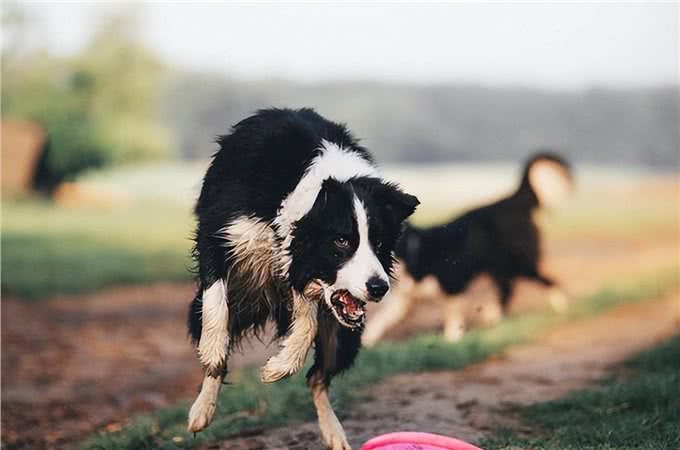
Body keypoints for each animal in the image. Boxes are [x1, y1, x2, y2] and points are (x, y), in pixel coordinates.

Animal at [187, 107, 420, 448]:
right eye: (342, 241)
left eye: (379, 243)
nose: (379, 289)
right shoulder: (221, 231)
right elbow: (216, 303)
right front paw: (213, 350)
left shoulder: (300, 269)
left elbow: (307, 324)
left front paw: (277, 368)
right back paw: (201, 410)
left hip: (344, 336)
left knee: (317, 378)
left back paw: (334, 433)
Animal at [364, 153, 572, 346]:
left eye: (378, 243)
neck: (415, 253)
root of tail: (513, 200)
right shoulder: (404, 302)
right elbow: (382, 320)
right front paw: (367, 340)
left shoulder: (453, 285)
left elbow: (453, 319)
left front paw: (452, 340)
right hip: (500, 269)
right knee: (507, 290)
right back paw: (494, 315)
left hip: (519, 264)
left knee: (548, 281)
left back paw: (561, 305)